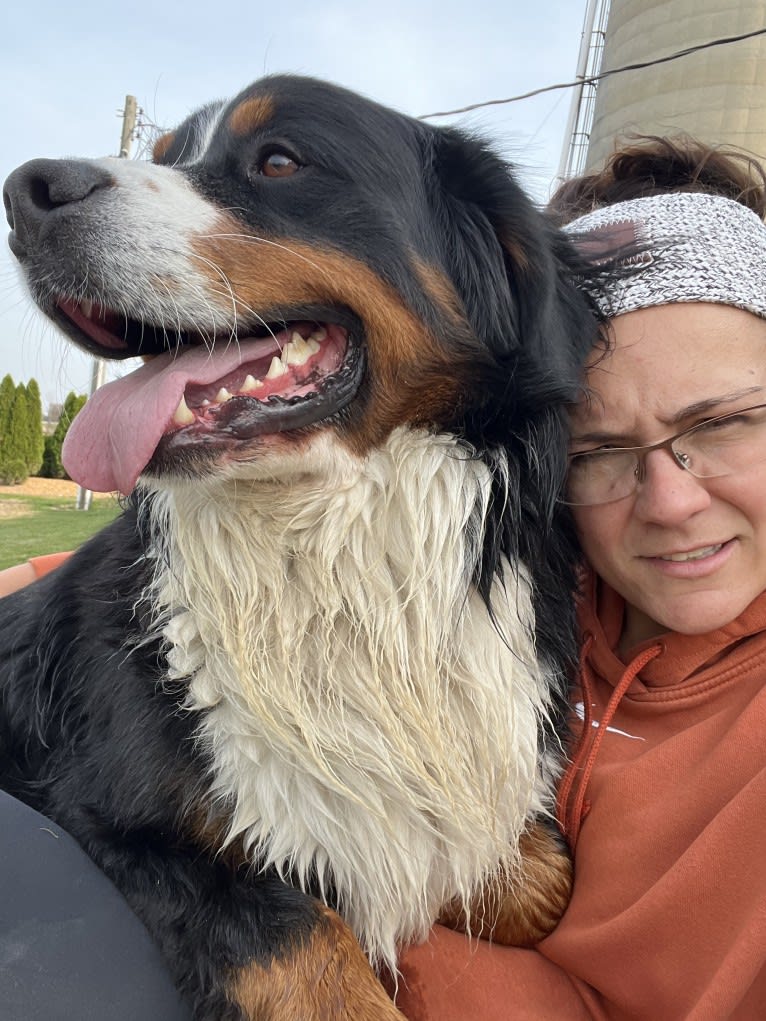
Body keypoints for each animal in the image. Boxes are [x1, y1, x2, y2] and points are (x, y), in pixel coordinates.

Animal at [3, 75, 608, 1016]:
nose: (26, 191)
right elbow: (307, 942)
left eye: (281, 161)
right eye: (163, 155)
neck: (329, 559)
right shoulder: (112, 813)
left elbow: (537, 875)